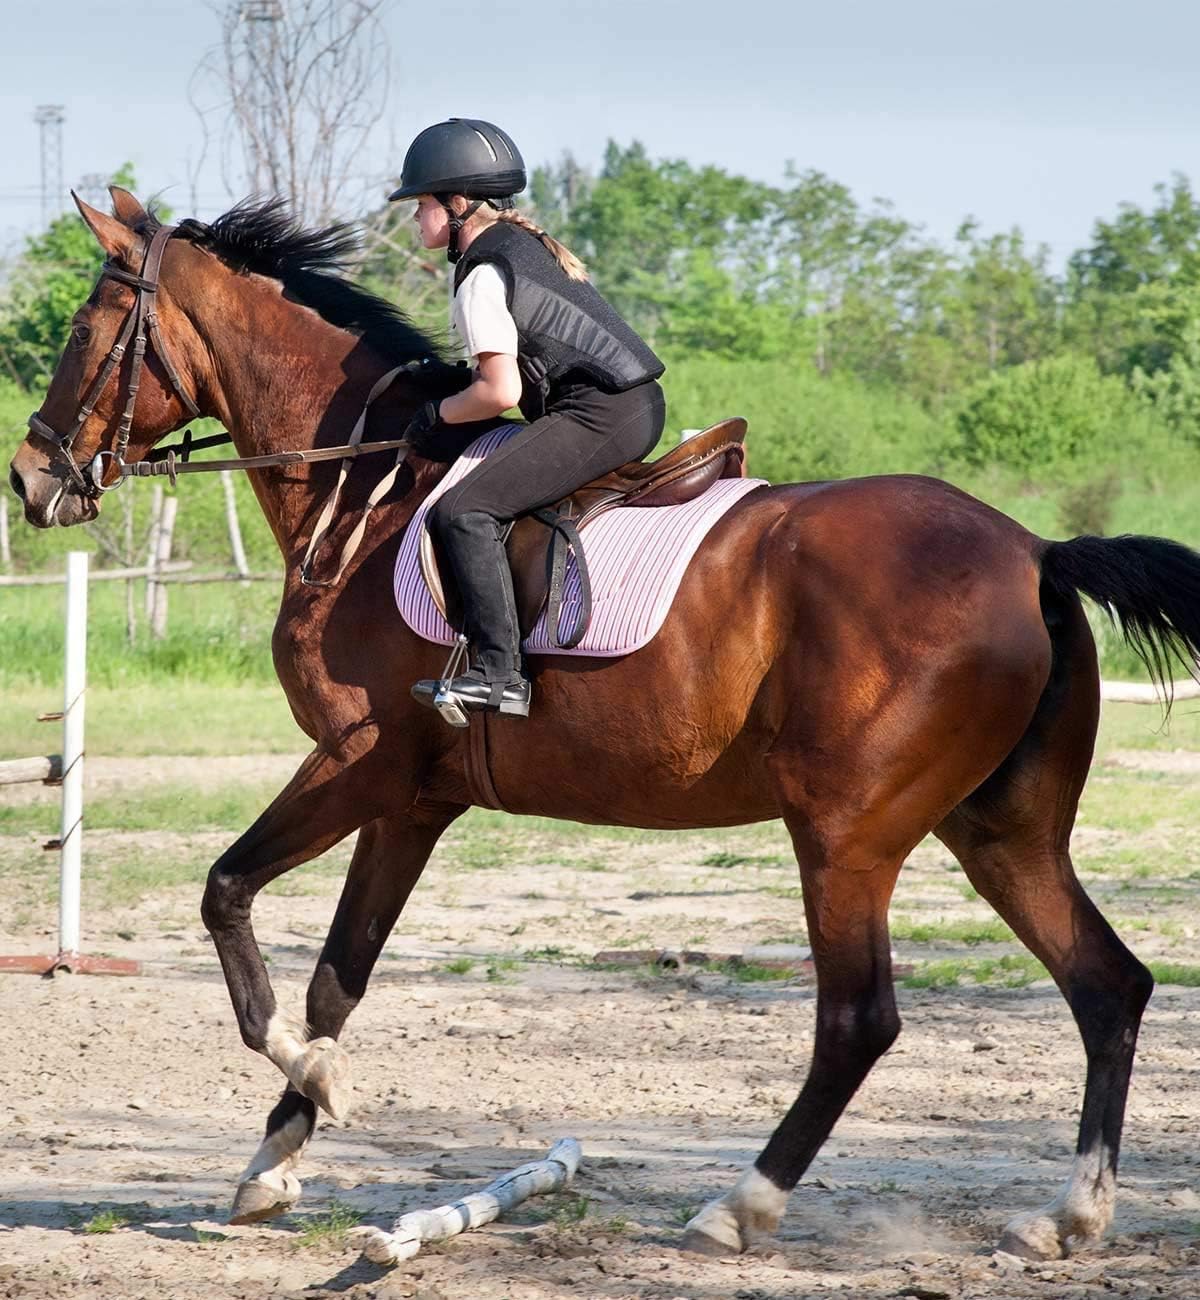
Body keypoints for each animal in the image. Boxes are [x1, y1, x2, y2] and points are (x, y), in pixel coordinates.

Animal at [10, 188, 1200, 1262]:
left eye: (84, 331)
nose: (30, 479)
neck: (368, 493)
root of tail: (1035, 553)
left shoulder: (357, 761)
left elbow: (226, 893)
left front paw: (303, 1071)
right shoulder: (411, 802)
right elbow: (339, 974)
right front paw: (275, 1160)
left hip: (846, 835)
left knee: (861, 1019)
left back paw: (741, 1206)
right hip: (1000, 830)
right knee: (1108, 985)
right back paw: (1069, 1217)